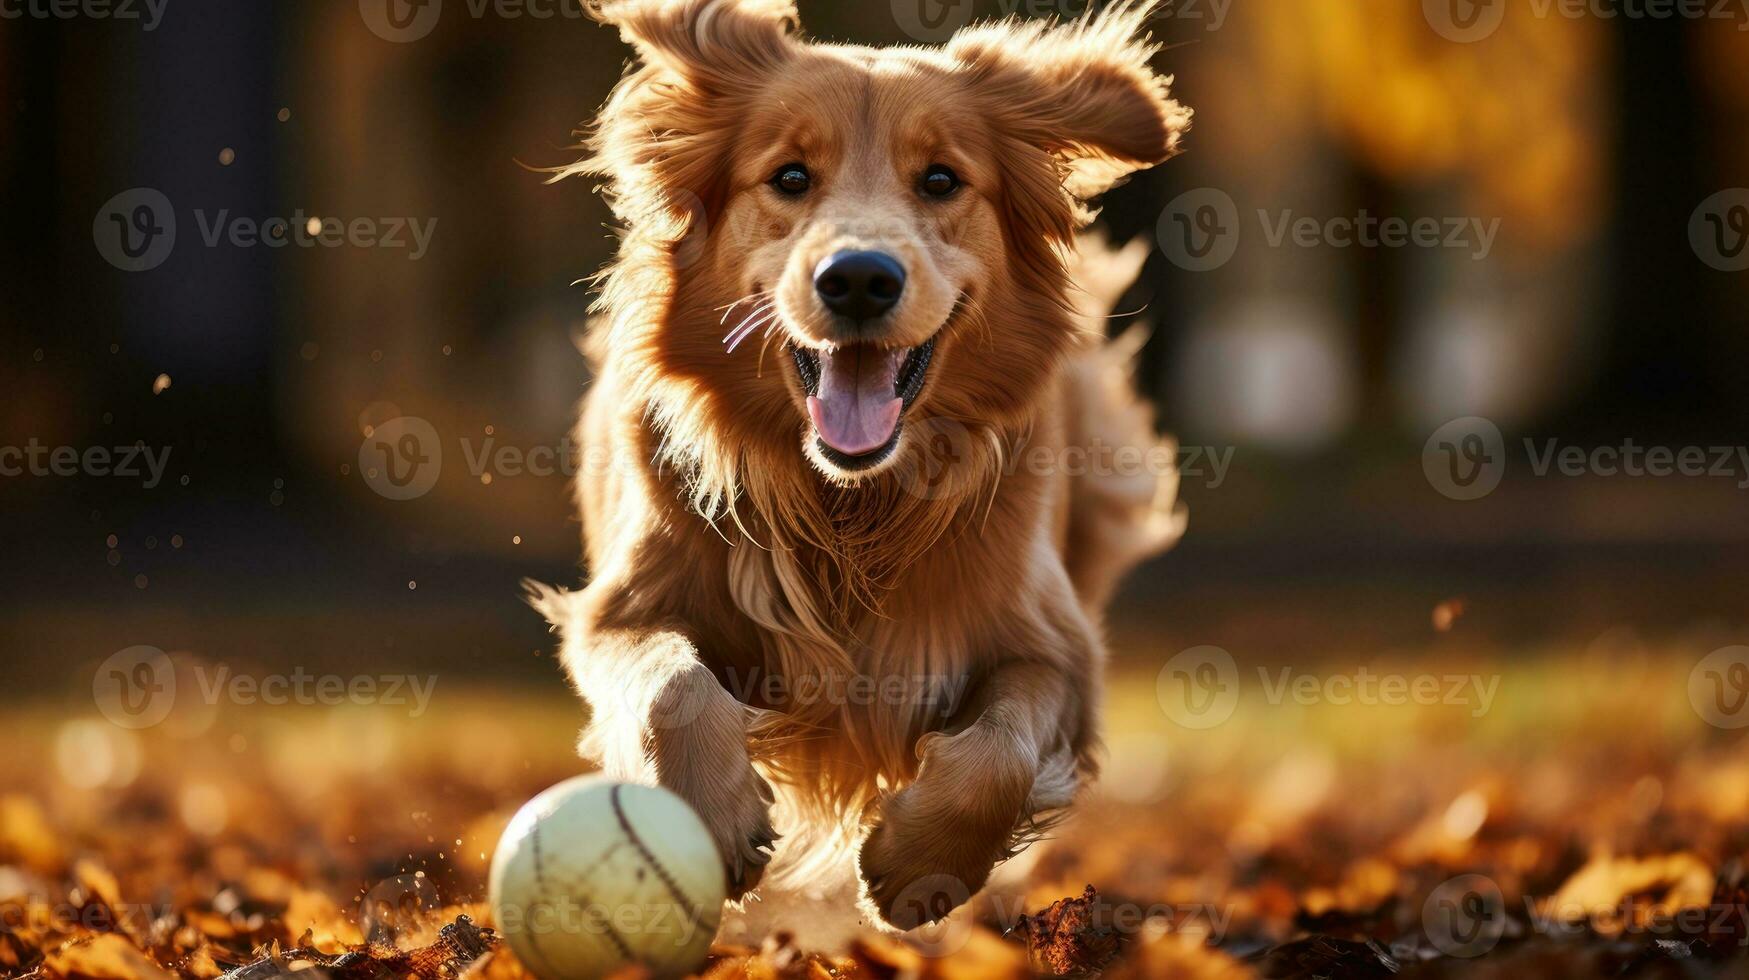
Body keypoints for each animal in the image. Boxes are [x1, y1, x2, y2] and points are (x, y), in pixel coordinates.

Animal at [528, 0, 1189, 945]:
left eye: (942, 180)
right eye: (790, 176)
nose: (860, 279)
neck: (848, 507)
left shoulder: (1055, 650)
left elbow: (999, 751)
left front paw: (919, 862)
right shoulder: (621, 611)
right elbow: (672, 688)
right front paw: (713, 817)